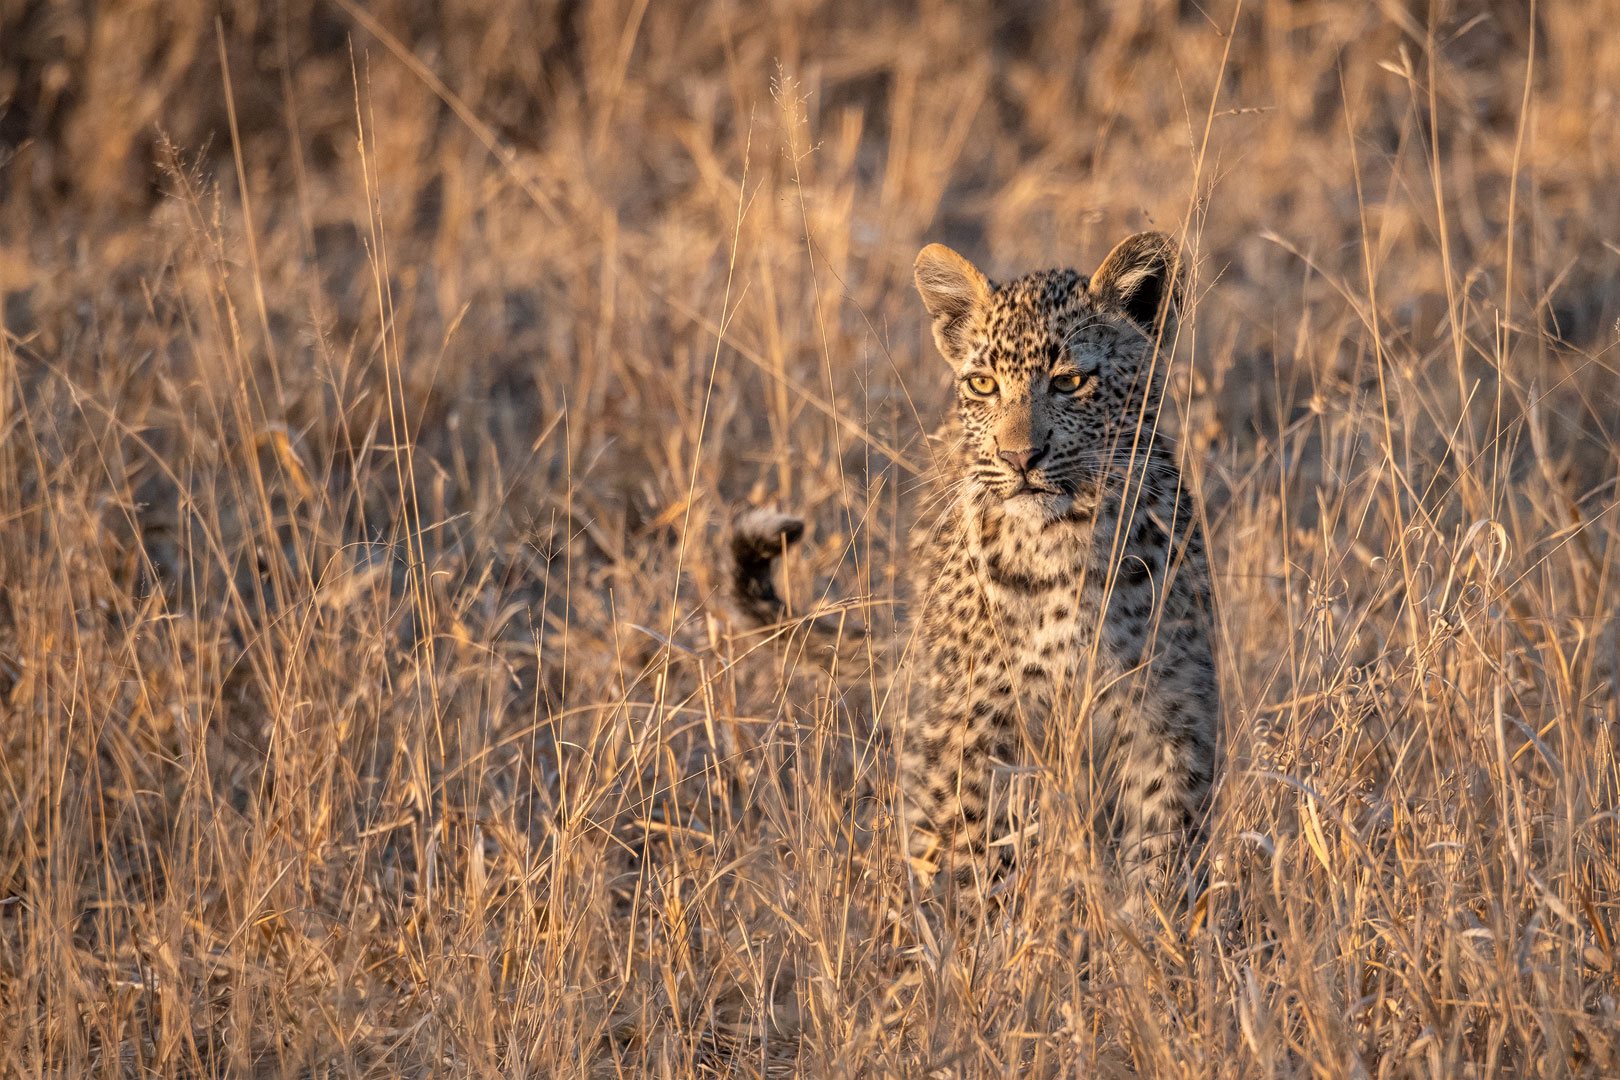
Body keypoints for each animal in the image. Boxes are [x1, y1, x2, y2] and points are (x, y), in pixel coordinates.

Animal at [732, 229, 1218, 919]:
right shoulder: (975, 724)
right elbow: (972, 851)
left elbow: (1165, 841)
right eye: (984, 384)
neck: (1062, 542)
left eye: (1071, 381)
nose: (1019, 457)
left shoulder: (1171, 713)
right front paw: (979, 939)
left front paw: (1155, 930)